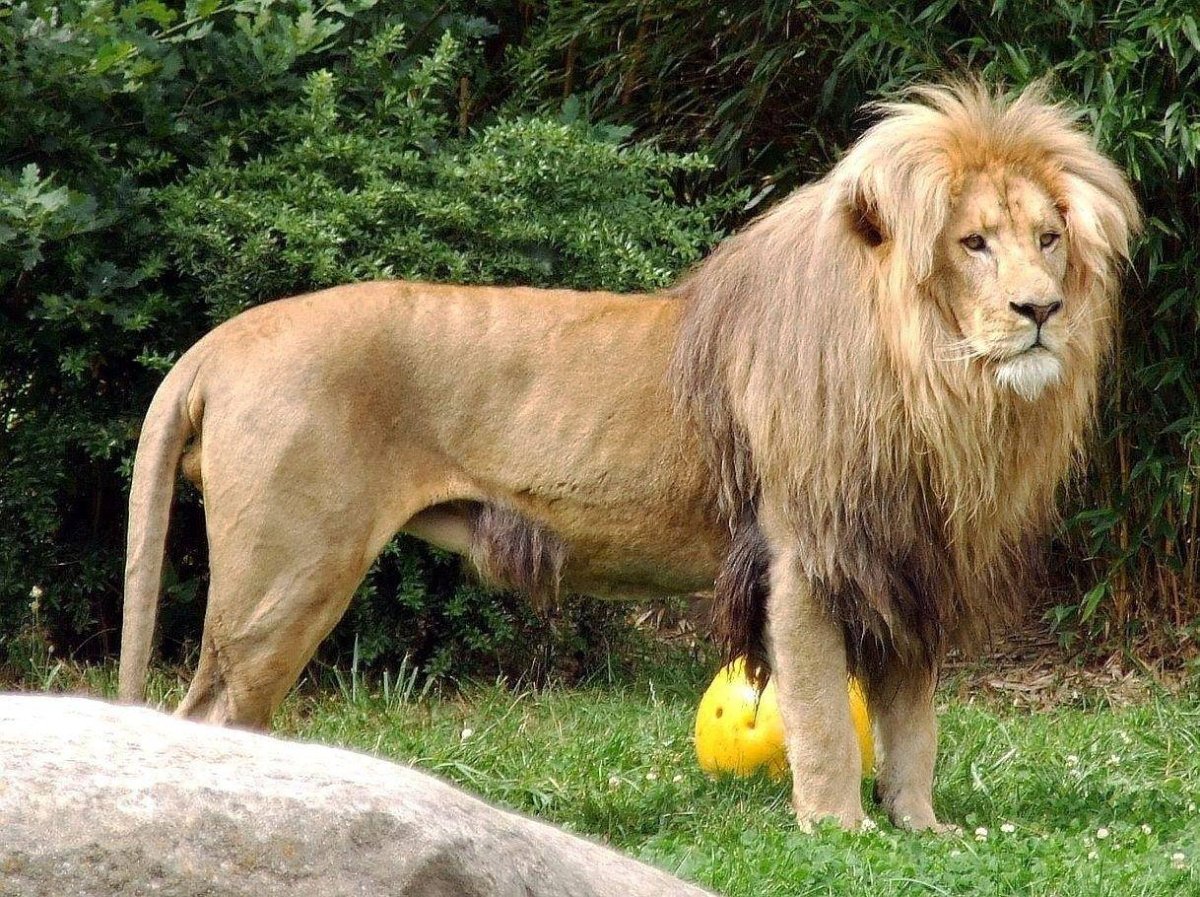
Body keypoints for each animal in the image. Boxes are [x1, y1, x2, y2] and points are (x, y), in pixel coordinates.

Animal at [120, 81, 1138, 830]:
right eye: (973, 244)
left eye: (1049, 239)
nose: (1041, 310)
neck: (939, 387)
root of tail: (220, 342)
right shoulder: (805, 557)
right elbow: (820, 715)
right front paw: (839, 829)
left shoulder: (906, 560)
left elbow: (911, 722)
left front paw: (924, 830)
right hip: (288, 577)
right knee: (206, 717)